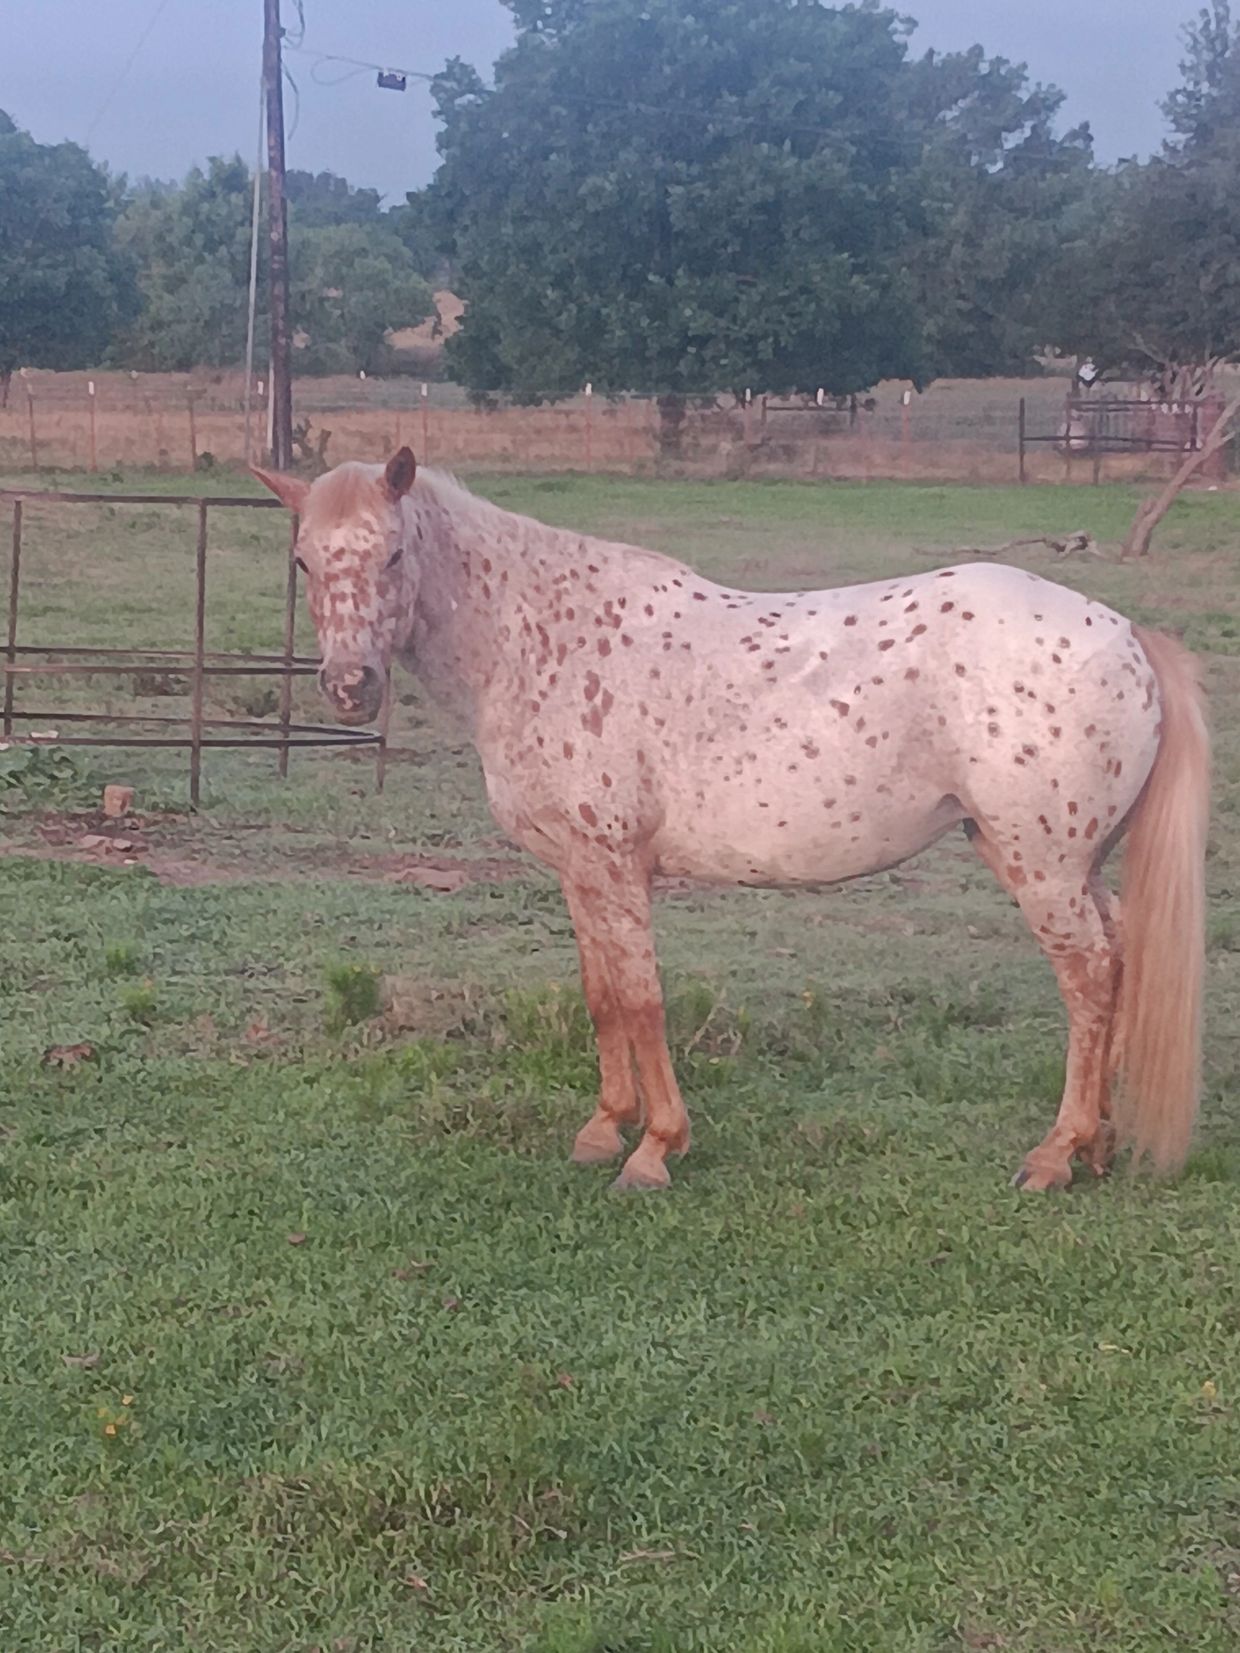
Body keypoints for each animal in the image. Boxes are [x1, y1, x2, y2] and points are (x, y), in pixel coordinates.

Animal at [254, 449, 1209, 1194]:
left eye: (394, 552)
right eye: (302, 562)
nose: (349, 688)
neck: (540, 641)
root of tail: (1126, 633)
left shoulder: (614, 865)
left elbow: (643, 1000)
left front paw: (654, 1150)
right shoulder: (580, 870)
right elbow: (602, 995)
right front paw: (604, 1127)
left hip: (1043, 866)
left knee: (1089, 979)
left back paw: (1054, 1154)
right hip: (1069, 865)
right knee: (1120, 960)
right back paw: (1098, 1147)